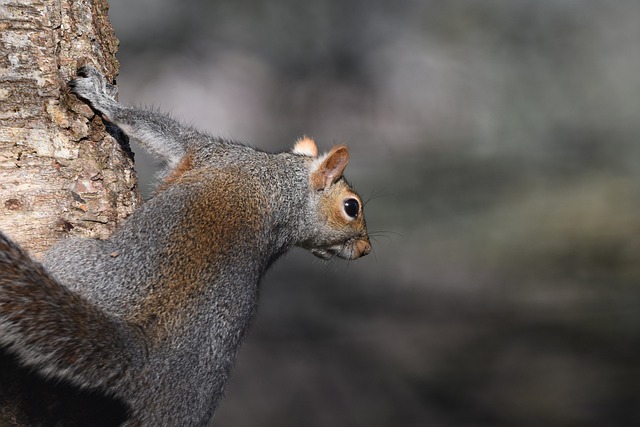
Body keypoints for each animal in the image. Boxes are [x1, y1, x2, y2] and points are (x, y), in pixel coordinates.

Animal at [0, 65, 370, 426]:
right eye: (352, 207)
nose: (365, 250)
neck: (285, 190)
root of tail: (143, 361)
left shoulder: (210, 152)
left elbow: (149, 126)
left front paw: (100, 97)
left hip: (75, 260)